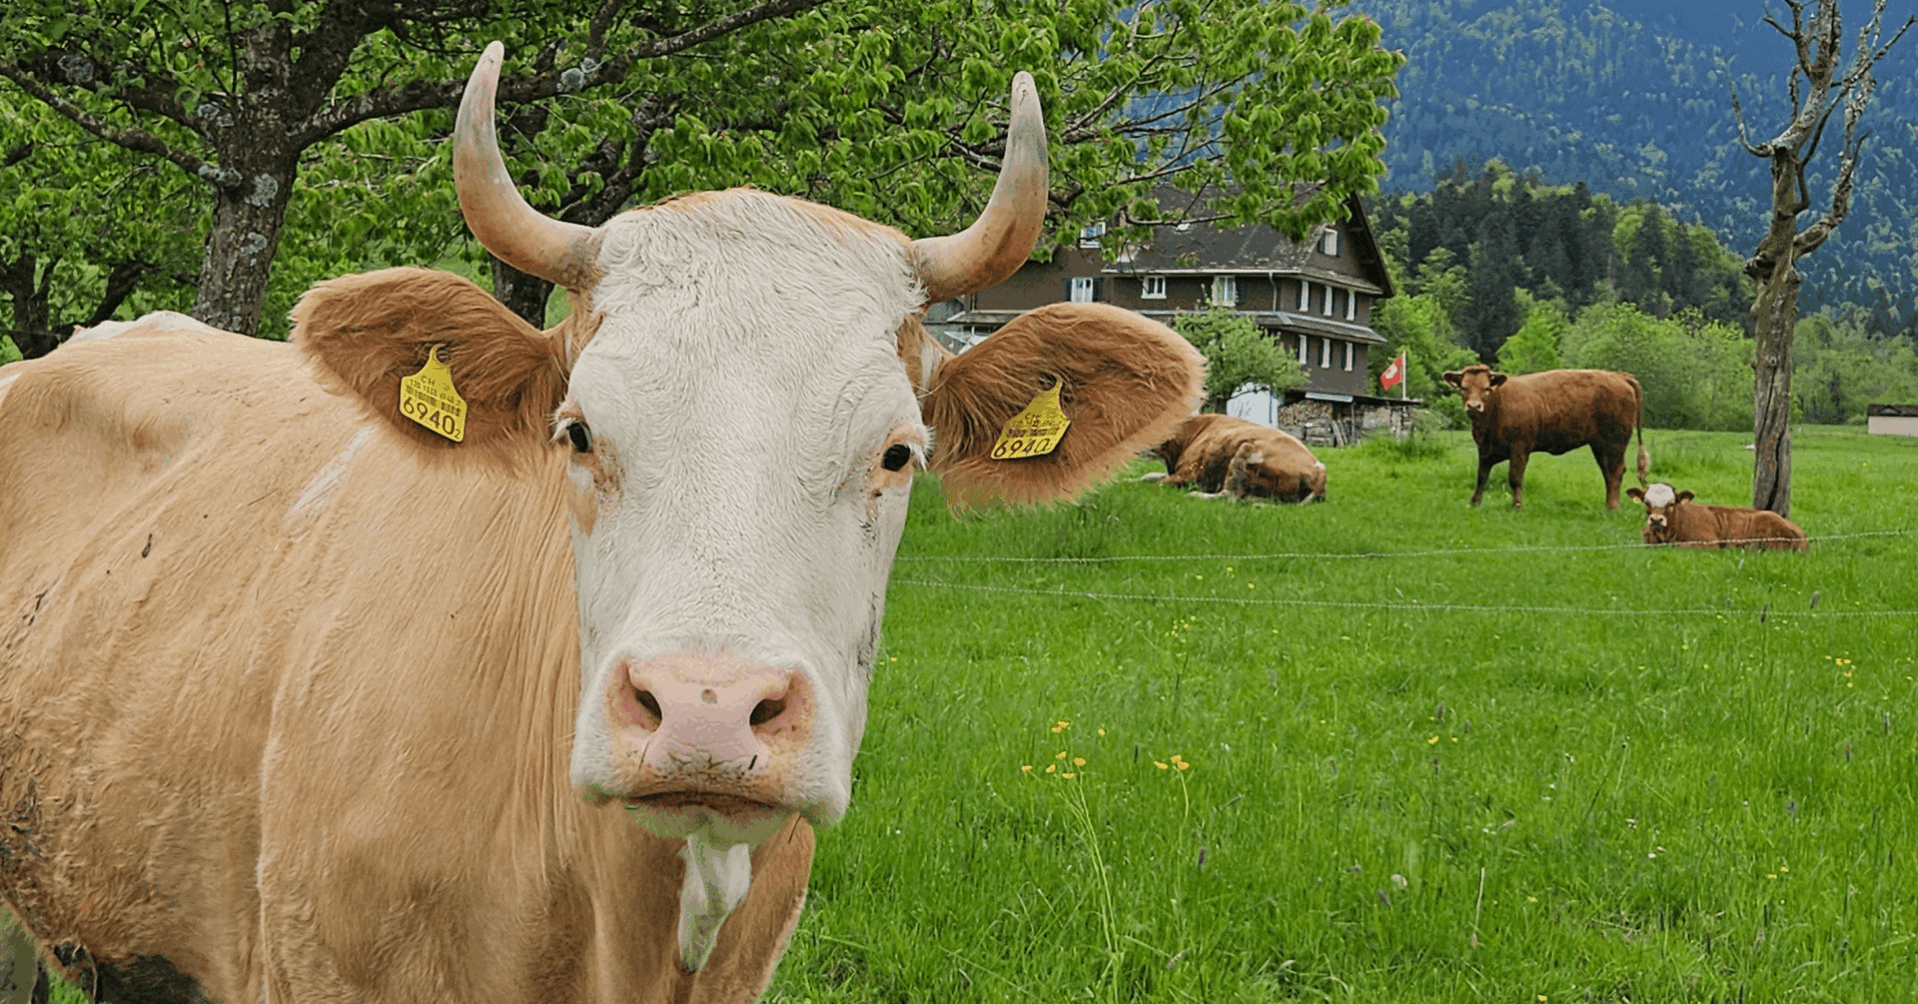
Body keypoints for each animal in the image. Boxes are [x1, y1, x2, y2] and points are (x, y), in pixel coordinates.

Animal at [1142, 413, 1326, 502]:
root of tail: (1319, 472)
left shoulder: (1191, 472)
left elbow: (1159, 483)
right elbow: (1149, 476)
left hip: (1244, 451)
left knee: (1230, 496)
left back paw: (1195, 495)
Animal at [1441, 364, 1649, 508]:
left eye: (1486, 388)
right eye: (1463, 388)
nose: (1474, 406)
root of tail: (1619, 376)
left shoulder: (1519, 447)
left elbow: (1515, 478)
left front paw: (1517, 505)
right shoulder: (1484, 449)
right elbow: (1481, 477)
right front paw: (1474, 502)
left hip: (1615, 442)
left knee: (1616, 471)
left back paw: (1613, 506)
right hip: (1600, 445)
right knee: (1608, 472)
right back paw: (1608, 504)